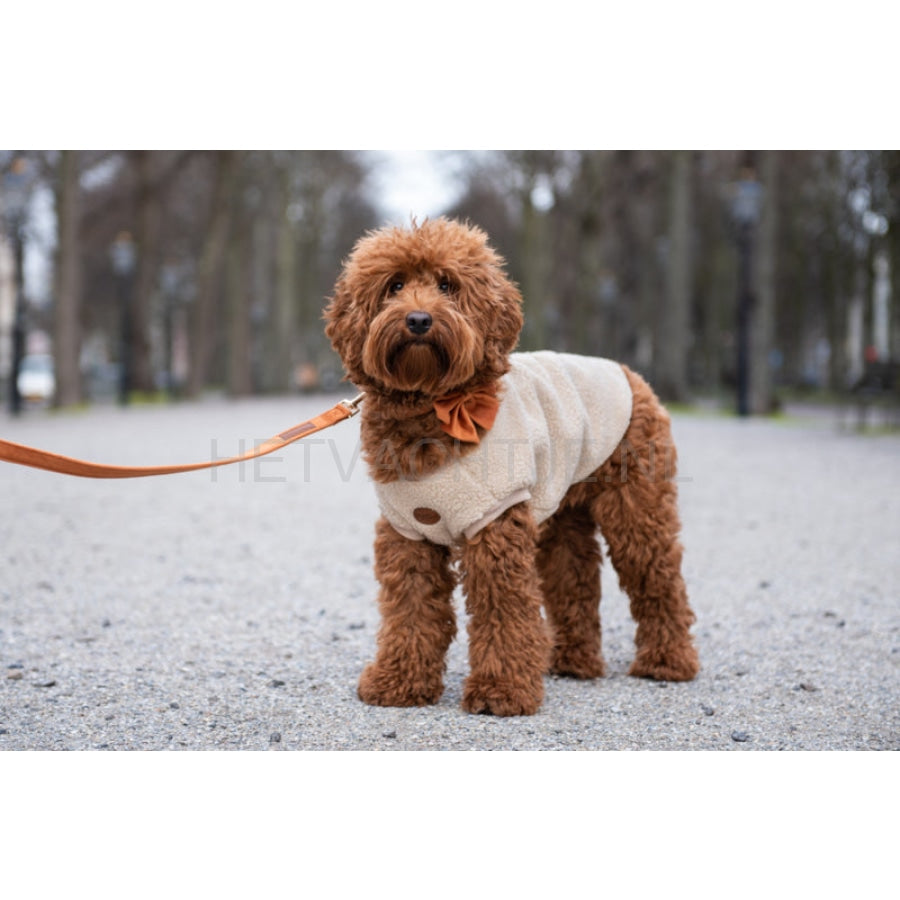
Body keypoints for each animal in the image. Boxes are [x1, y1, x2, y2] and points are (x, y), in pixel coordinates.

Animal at [326, 218, 700, 716]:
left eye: (447, 285)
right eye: (395, 285)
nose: (419, 320)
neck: (433, 406)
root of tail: (627, 371)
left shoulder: (495, 524)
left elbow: (501, 608)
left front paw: (501, 690)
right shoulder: (408, 533)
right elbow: (411, 609)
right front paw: (399, 682)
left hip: (636, 506)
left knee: (658, 577)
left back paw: (669, 661)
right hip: (562, 512)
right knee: (574, 579)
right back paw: (574, 662)